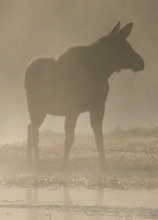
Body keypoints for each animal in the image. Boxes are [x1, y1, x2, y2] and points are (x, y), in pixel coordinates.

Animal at [24, 21, 144, 170]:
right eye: (125, 46)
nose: (141, 62)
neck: (103, 70)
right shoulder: (73, 108)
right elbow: (69, 139)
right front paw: (63, 167)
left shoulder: (98, 106)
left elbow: (99, 136)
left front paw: (103, 166)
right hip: (37, 108)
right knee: (34, 132)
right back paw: (38, 164)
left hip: (40, 111)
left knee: (29, 128)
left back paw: (29, 162)